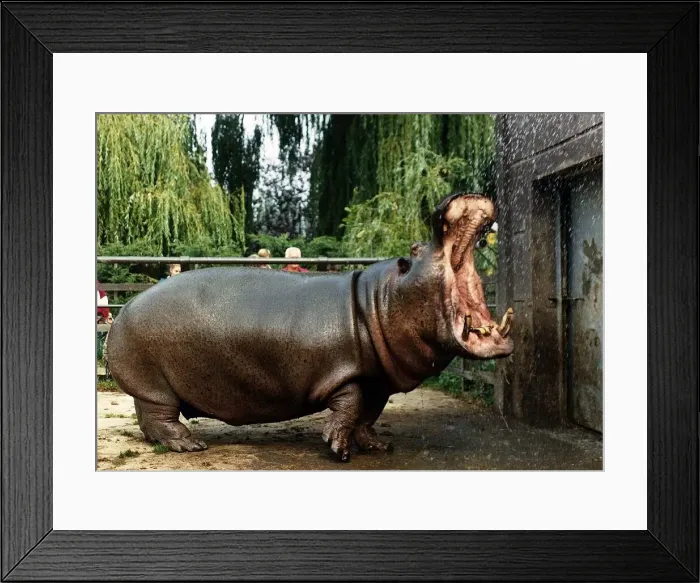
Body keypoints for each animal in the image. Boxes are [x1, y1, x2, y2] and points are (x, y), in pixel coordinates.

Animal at [106, 193, 515, 461]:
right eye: (414, 250)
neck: (377, 302)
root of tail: (123, 309)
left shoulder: (378, 380)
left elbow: (369, 413)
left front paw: (379, 446)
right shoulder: (344, 375)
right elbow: (350, 406)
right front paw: (338, 448)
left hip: (152, 386)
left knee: (147, 419)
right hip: (154, 385)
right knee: (159, 416)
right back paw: (189, 444)